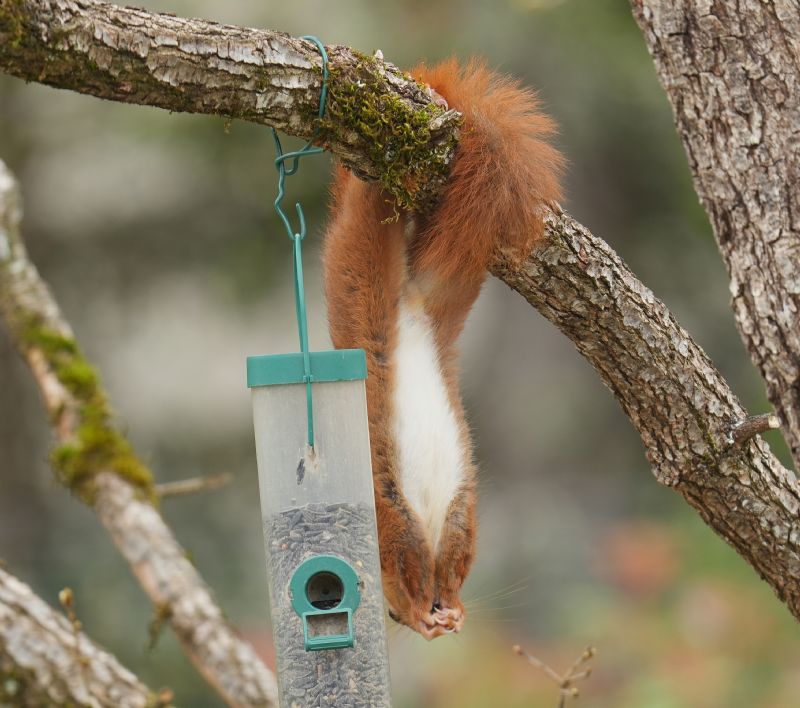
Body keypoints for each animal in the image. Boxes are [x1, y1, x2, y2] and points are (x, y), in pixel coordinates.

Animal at [320, 58, 564, 640]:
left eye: (385, 611)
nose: (405, 620)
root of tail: (411, 297)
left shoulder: (394, 516)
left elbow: (417, 561)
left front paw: (432, 609)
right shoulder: (448, 519)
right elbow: (451, 562)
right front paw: (443, 609)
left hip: (363, 260)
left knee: (369, 207)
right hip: (447, 288)